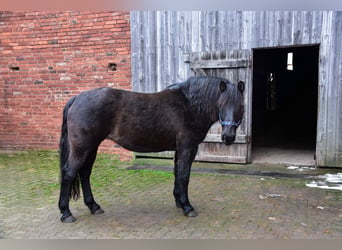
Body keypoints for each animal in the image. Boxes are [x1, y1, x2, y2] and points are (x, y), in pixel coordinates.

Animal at [59, 75, 246, 223]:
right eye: (220, 104)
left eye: (240, 106)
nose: (228, 137)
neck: (189, 106)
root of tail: (76, 98)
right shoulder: (187, 147)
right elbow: (184, 175)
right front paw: (187, 207)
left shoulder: (179, 149)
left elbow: (177, 173)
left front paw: (179, 202)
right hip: (82, 148)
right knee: (69, 173)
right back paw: (66, 213)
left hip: (92, 148)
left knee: (84, 174)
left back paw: (94, 206)